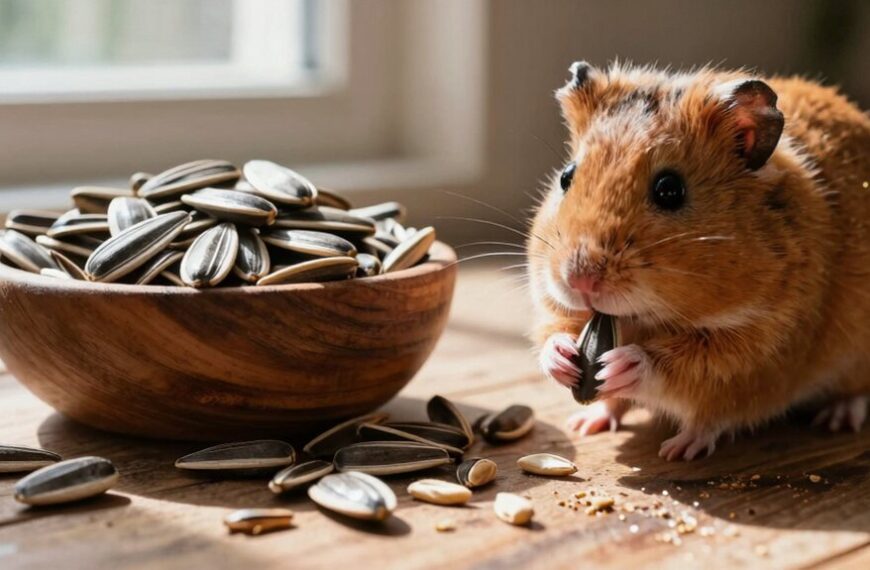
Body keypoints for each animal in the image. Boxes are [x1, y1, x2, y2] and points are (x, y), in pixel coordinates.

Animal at [528, 61, 870, 460]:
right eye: (566, 176)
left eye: (669, 190)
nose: (579, 280)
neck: (644, 319)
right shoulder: (558, 309)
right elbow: (552, 332)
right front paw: (563, 359)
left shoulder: (753, 356)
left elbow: (680, 377)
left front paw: (622, 369)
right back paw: (586, 423)